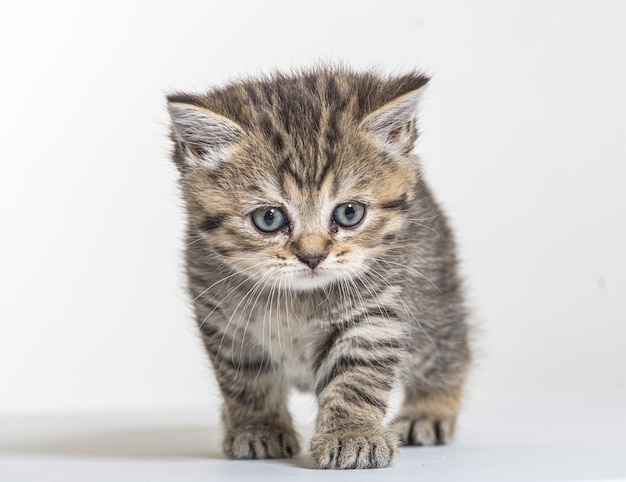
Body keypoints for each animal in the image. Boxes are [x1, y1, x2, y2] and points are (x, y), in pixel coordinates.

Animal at [166, 66, 468, 468]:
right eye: (268, 218)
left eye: (350, 212)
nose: (312, 256)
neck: (296, 299)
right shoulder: (222, 320)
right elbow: (245, 381)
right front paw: (258, 427)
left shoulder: (376, 312)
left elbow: (357, 378)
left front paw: (352, 435)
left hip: (432, 300)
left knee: (450, 352)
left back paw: (428, 411)